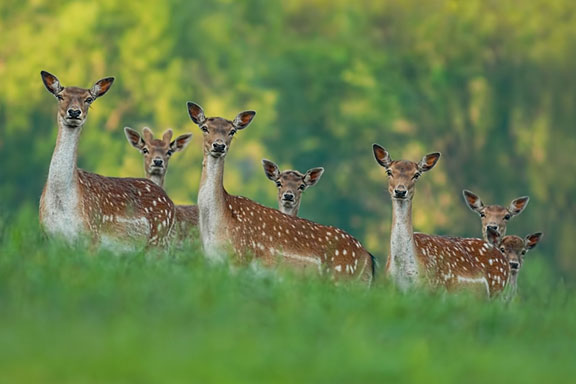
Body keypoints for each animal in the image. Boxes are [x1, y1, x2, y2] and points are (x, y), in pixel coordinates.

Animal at [39, 70, 174, 248]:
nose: (74, 112)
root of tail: (170, 202)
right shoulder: (49, 237)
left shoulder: (92, 235)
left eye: (89, 99)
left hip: (158, 239)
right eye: (60, 96)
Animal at [188, 103, 374, 284]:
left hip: (343, 280)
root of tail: (369, 259)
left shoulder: (239, 260)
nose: (219, 145)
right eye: (204, 127)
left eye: (232, 131)